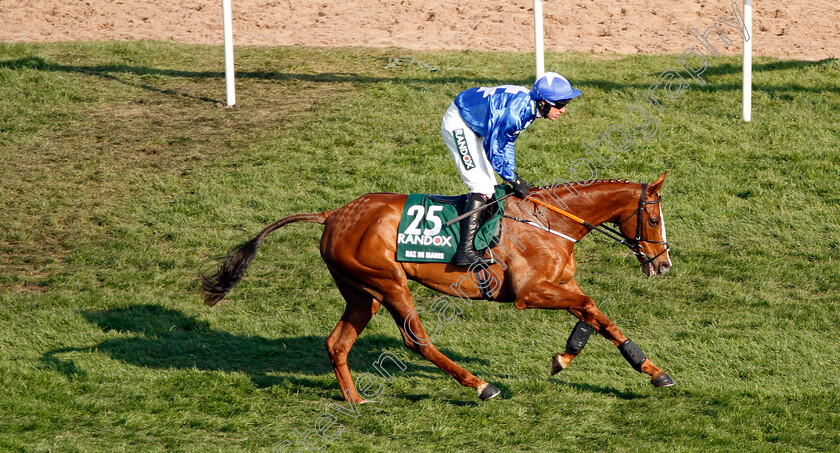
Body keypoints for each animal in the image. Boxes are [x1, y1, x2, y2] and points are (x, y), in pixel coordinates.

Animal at [200, 171, 672, 400]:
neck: (550, 221)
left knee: (337, 343)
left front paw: (651, 371)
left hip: (362, 294)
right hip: (389, 284)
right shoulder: (528, 294)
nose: (663, 264)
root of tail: (332, 214)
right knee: (417, 341)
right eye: (652, 218)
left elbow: (598, 316)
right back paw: (481, 385)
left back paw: (354, 400)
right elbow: (591, 304)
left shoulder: (558, 284)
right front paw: (567, 356)